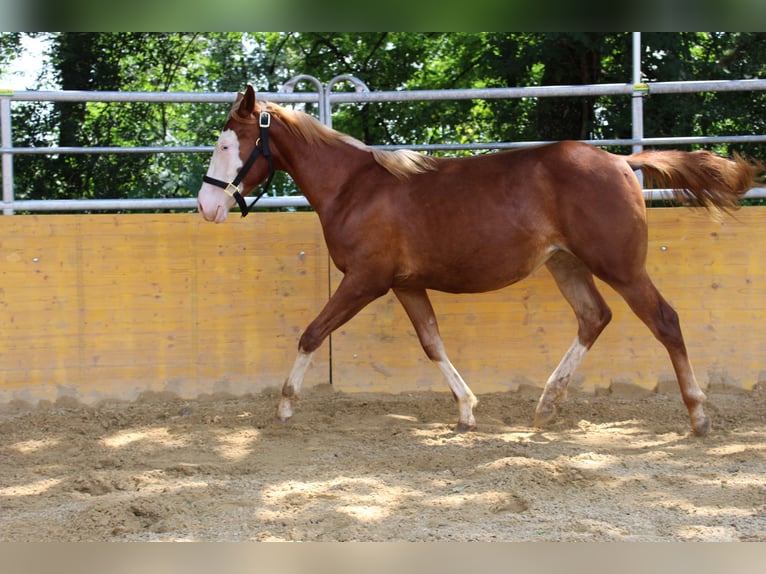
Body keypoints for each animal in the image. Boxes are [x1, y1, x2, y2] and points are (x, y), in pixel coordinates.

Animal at [198, 85, 760, 436]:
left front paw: (284, 405)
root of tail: (622, 160)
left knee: (664, 320)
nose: (206, 207)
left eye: (228, 143)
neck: (354, 188)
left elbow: (312, 333)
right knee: (594, 318)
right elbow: (432, 343)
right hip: (566, 264)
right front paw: (467, 411)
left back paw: (698, 417)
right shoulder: (405, 284)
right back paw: (546, 406)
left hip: (620, 266)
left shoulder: (366, 280)